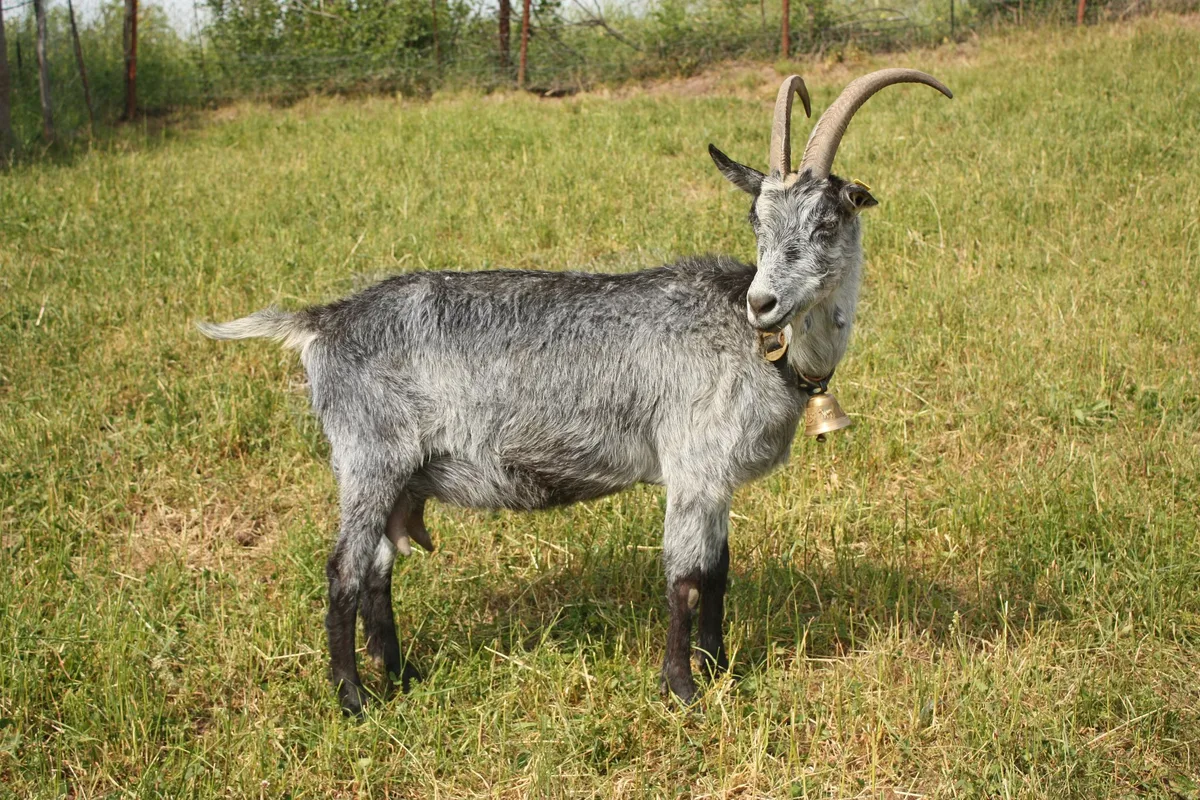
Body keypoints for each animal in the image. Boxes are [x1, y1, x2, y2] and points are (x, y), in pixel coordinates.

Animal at [198, 70, 952, 715]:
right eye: (756, 223)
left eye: (826, 223)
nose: (763, 302)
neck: (758, 347)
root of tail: (322, 321)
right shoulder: (693, 465)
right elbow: (685, 578)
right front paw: (682, 691)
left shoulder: (715, 480)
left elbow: (719, 574)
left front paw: (720, 670)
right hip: (368, 459)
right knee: (344, 572)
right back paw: (354, 700)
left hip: (400, 477)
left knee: (381, 570)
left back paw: (403, 676)